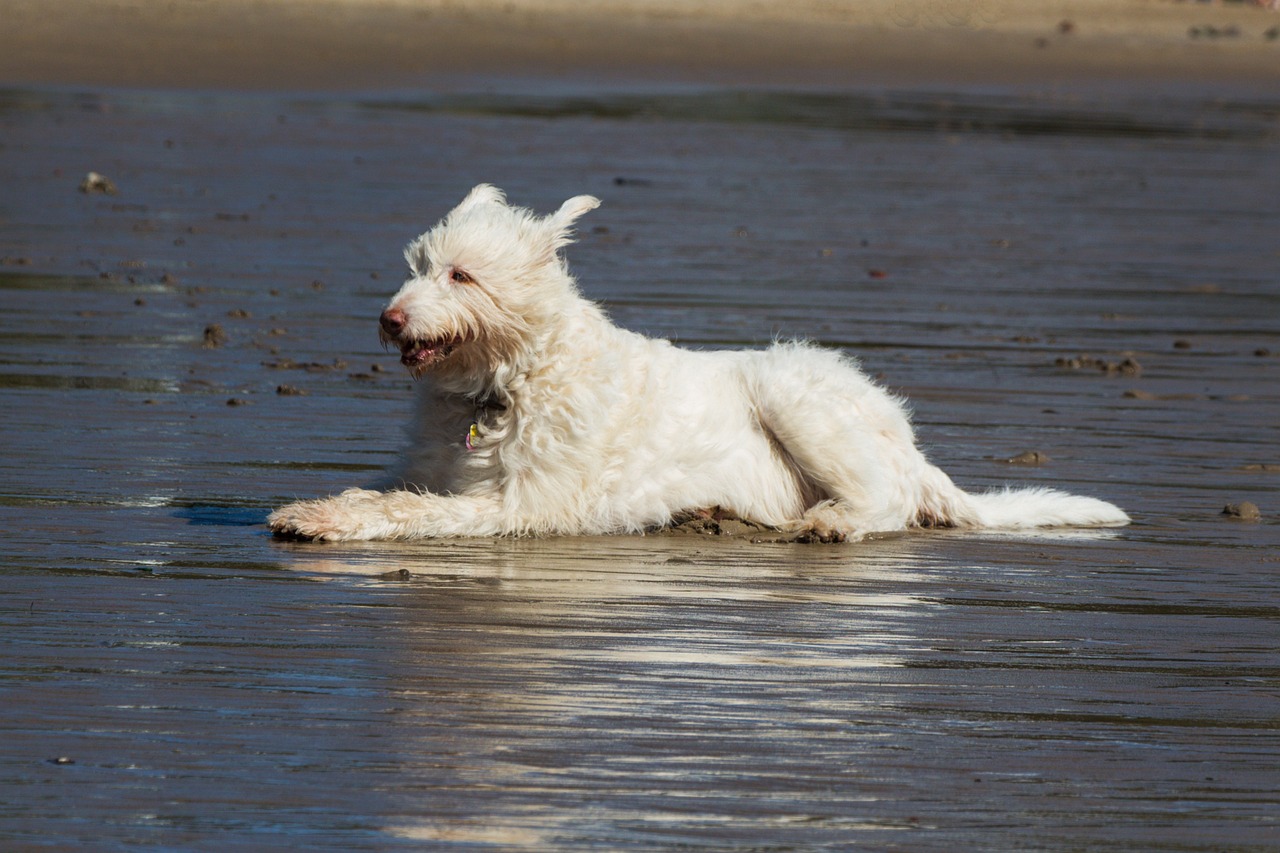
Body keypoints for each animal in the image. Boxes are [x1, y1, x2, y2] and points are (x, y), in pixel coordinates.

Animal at [267, 185, 1121, 540]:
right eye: (417, 263)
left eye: (462, 275)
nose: (389, 319)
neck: (503, 381)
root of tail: (913, 448)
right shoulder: (431, 466)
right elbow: (380, 491)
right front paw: (315, 506)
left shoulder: (523, 506)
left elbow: (412, 511)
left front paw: (330, 523)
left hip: (791, 389)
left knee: (887, 501)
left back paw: (833, 523)